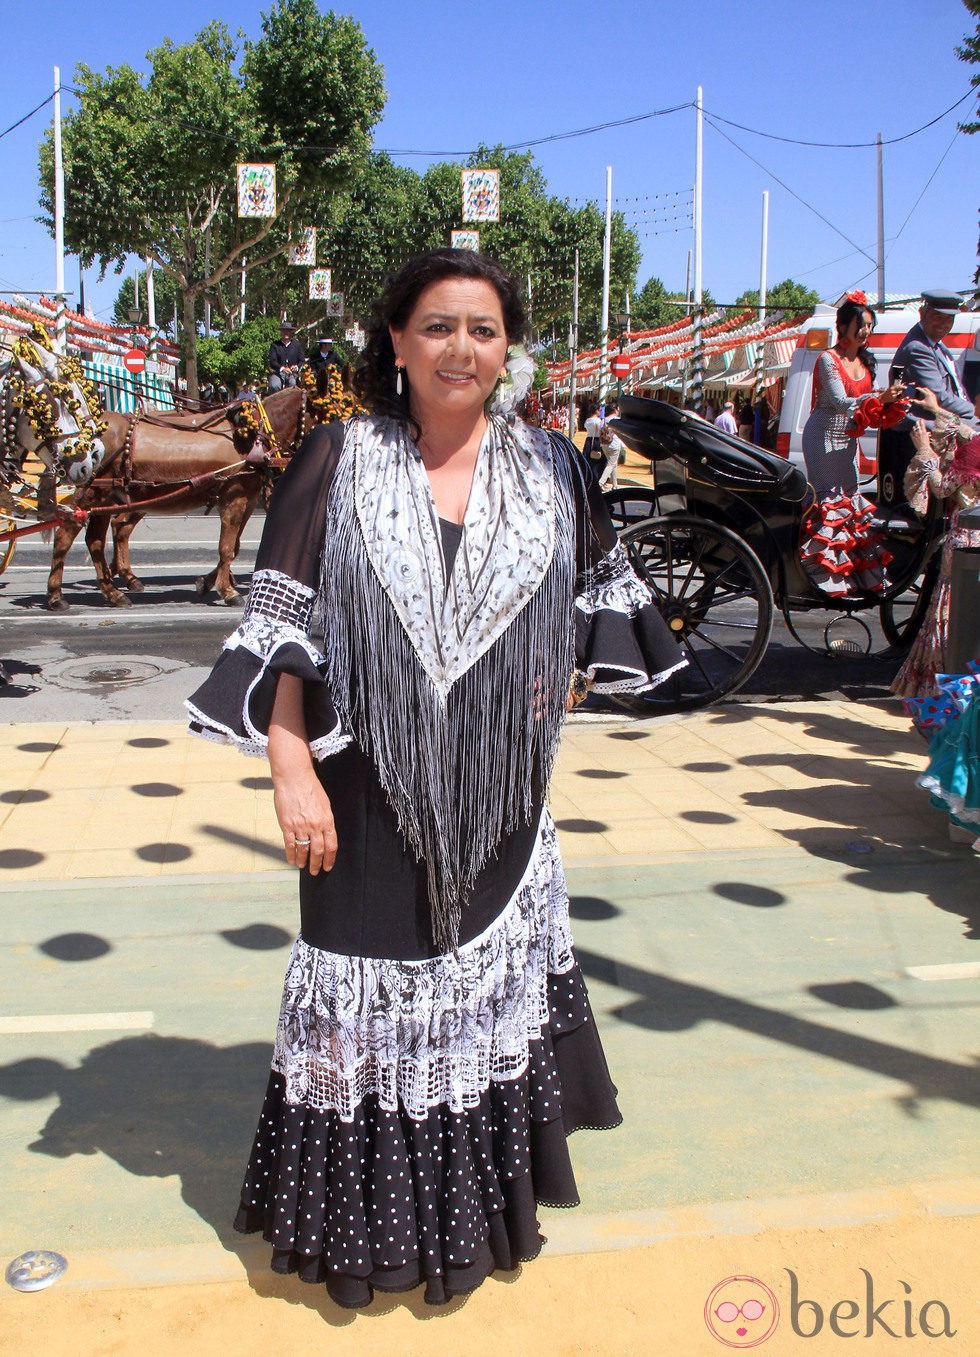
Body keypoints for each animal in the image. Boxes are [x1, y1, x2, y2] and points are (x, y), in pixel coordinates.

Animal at [47, 388, 306, 610]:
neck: (252, 438)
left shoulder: (249, 501)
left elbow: (234, 547)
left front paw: (209, 582)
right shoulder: (234, 499)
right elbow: (226, 548)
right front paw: (228, 591)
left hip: (110, 499)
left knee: (100, 536)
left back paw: (114, 588)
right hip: (96, 493)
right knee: (69, 532)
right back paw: (57, 595)